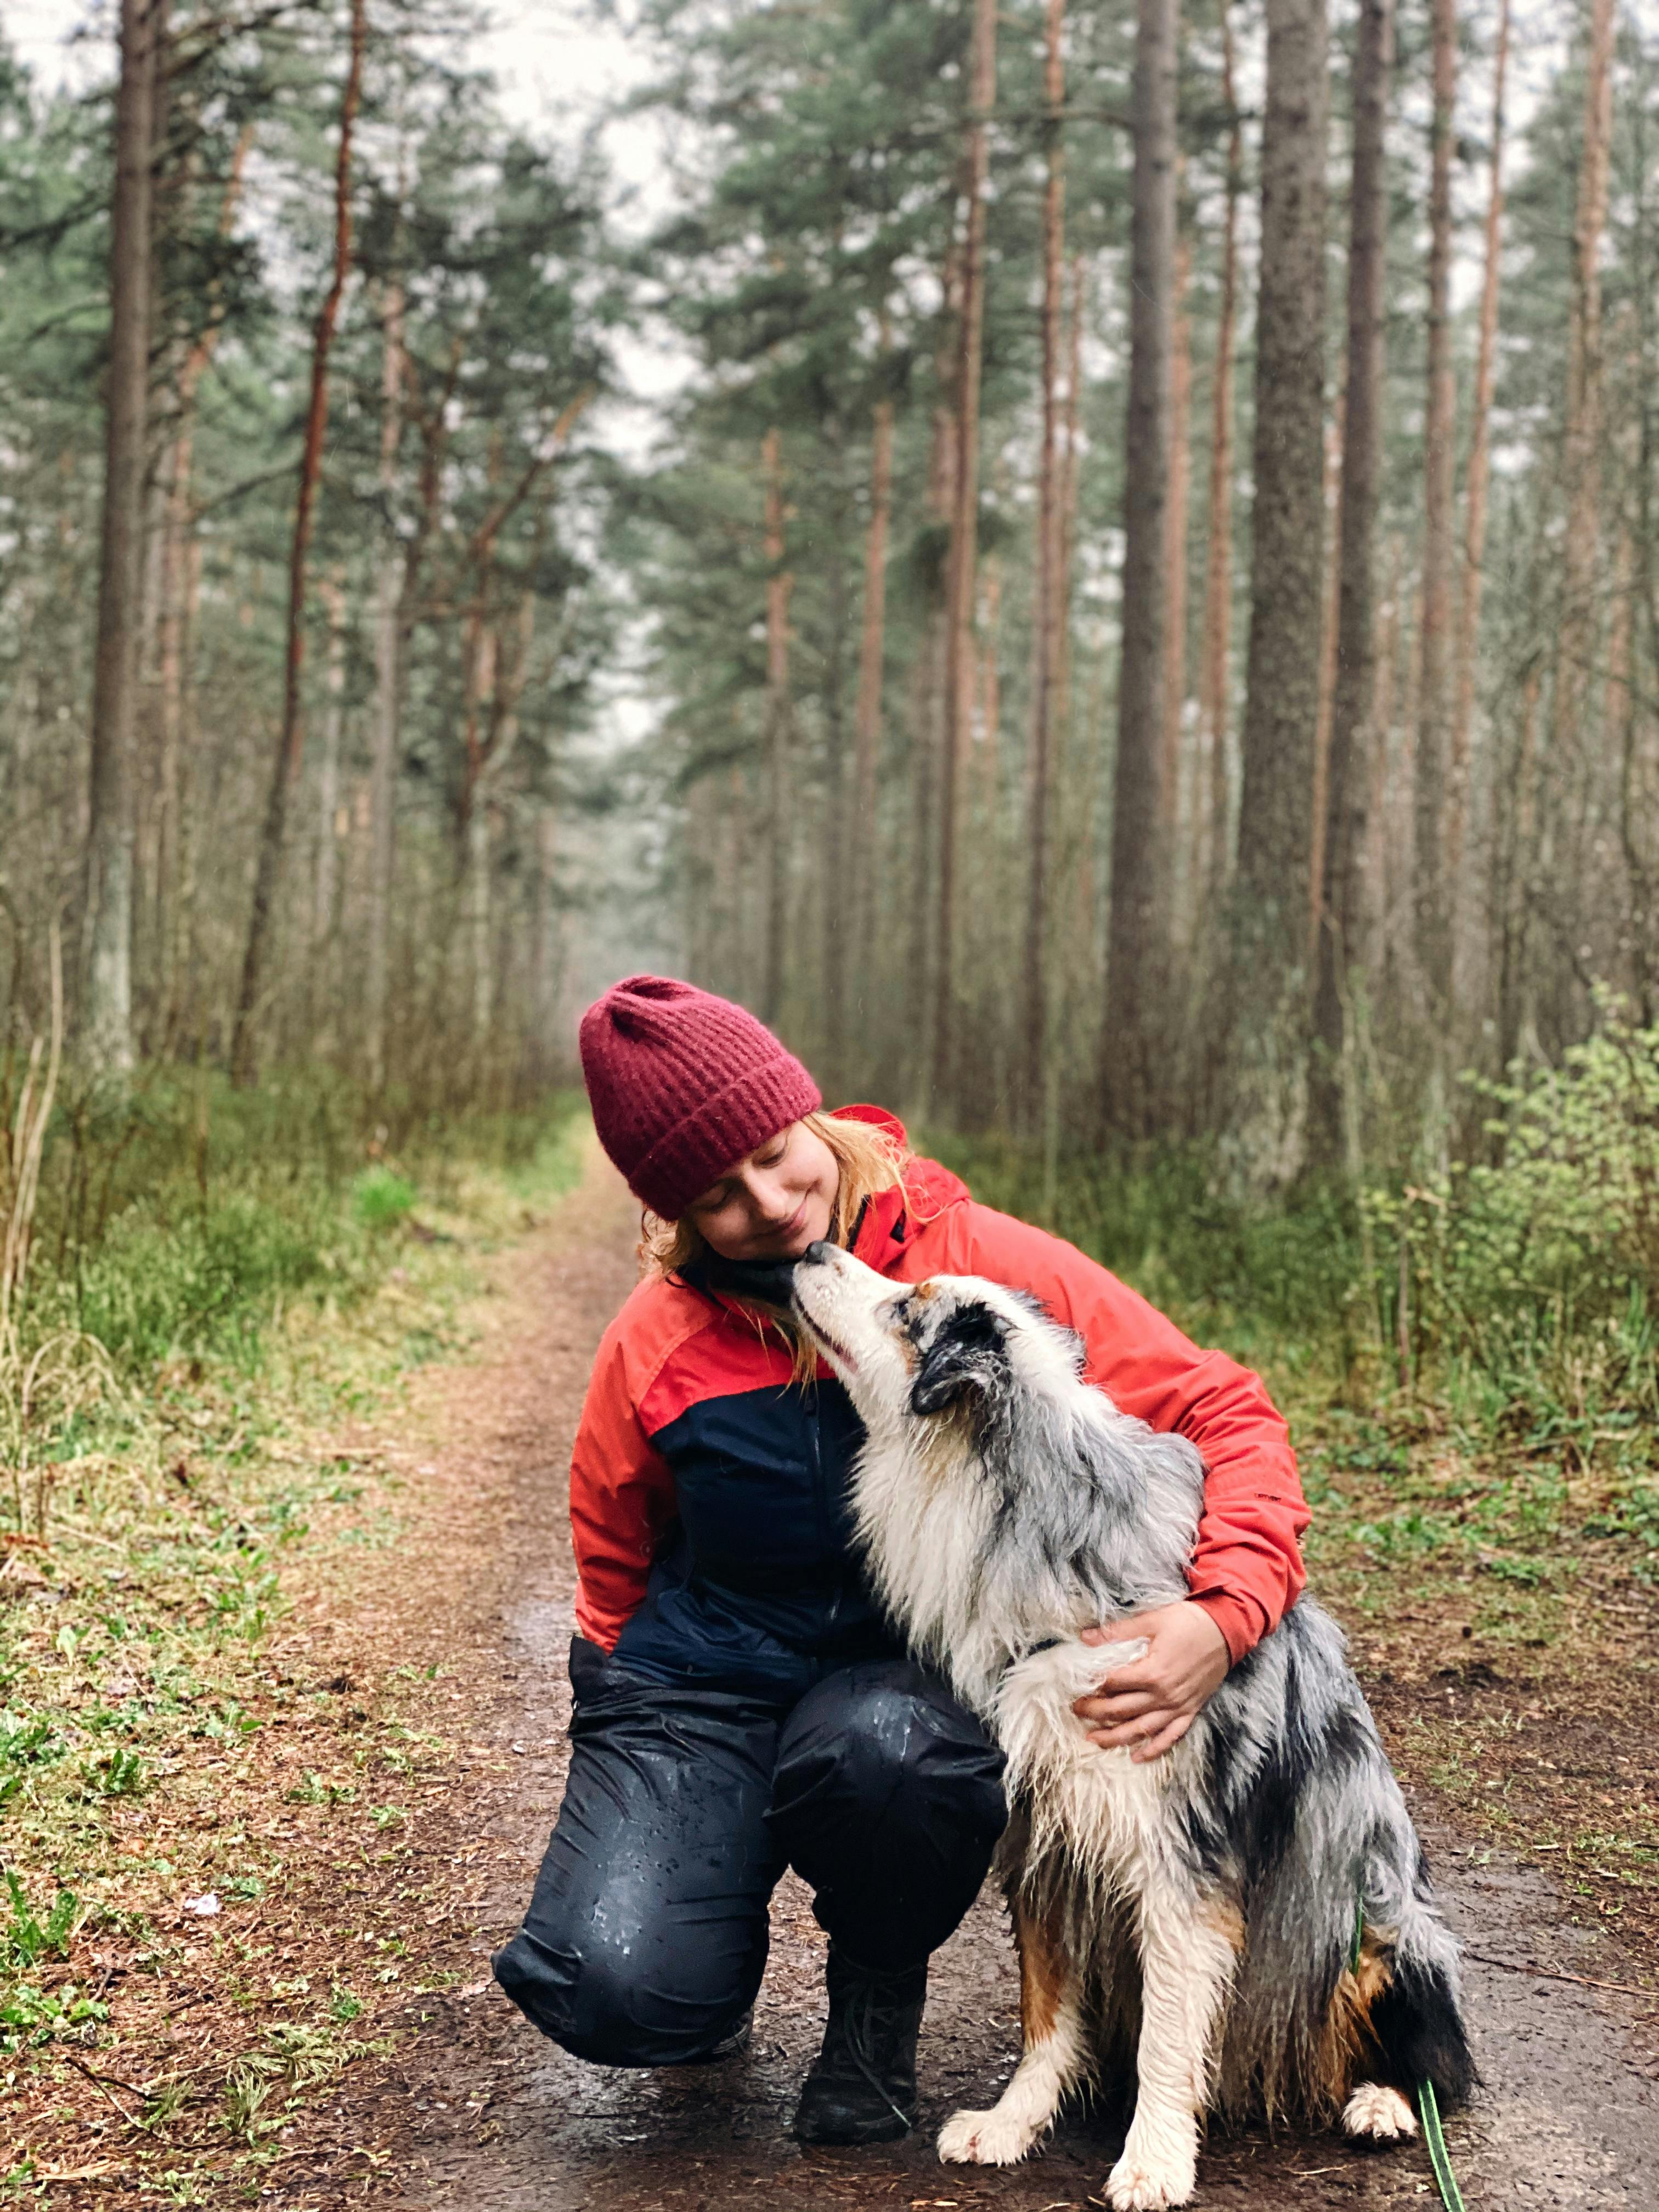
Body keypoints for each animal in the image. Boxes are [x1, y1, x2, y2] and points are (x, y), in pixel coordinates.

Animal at [792, 1248, 1477, 2212]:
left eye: (905, 1307)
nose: (814, 1251)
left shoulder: (1178, 1860)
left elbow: (1167, 2033)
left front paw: (1154, 2161)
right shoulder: (1042, 1831)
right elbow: (1044, 2009)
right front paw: (1012, 2124)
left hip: (1381, 1923)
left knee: (1437, 2057)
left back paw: (1380, 2102)